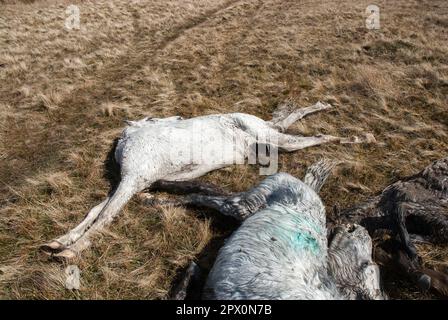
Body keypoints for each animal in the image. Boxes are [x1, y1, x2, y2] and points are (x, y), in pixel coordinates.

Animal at [43, 101, 374, 258]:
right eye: (153, 117)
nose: (178, 116)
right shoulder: (137, 182)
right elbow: (96, 211)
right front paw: (59, 242)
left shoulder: (133, 180)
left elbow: (105, 216)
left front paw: (72, 251)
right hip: (267, 138)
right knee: (289, 122)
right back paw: (326, 109)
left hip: (275, 140)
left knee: (313, 137)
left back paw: (359, 137)